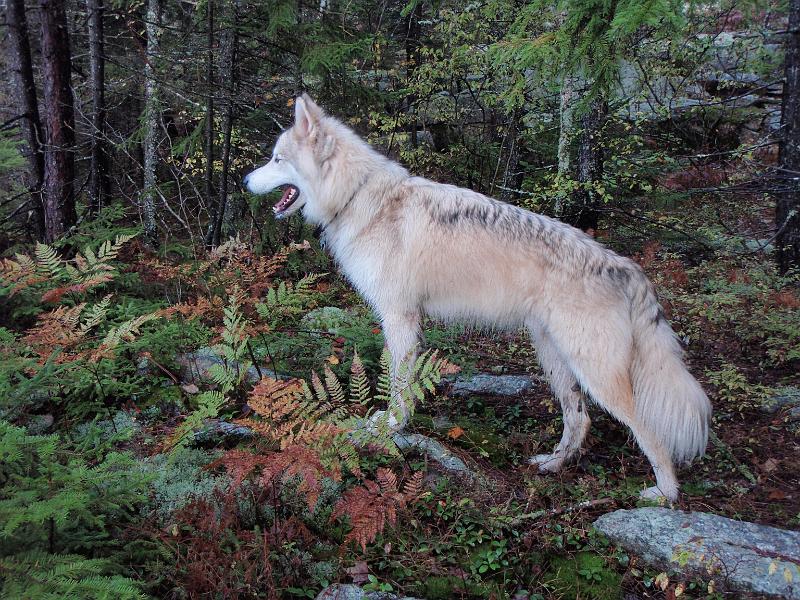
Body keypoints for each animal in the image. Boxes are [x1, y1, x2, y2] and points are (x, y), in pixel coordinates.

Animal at [244, 94, 711, 501]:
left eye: (276, 159)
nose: (246, 180)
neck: (358, 195)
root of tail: (628, 268)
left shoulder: (399, 318)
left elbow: (397, 383)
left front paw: (391, 427)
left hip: (595, 372)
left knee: (646, 432)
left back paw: (665, 494)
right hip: (555, 359)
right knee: (579, 420)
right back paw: (552, 465)